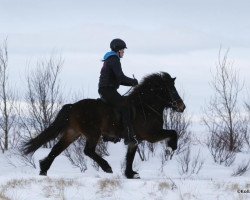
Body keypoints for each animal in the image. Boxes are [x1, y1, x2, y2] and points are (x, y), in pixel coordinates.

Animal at [21, 71, 186, 178]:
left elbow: (130, 156)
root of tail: (73, 106)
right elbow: (173, 132)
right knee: (88, 151)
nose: (182, 107)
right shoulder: (151, 134)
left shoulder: (135, 140)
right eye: (172, 90)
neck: (145, 106)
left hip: (73, 133)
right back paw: (106, 167)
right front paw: (172, 147)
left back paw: (43, 170)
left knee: (57, 148)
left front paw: (130, 174)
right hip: (93, 133)